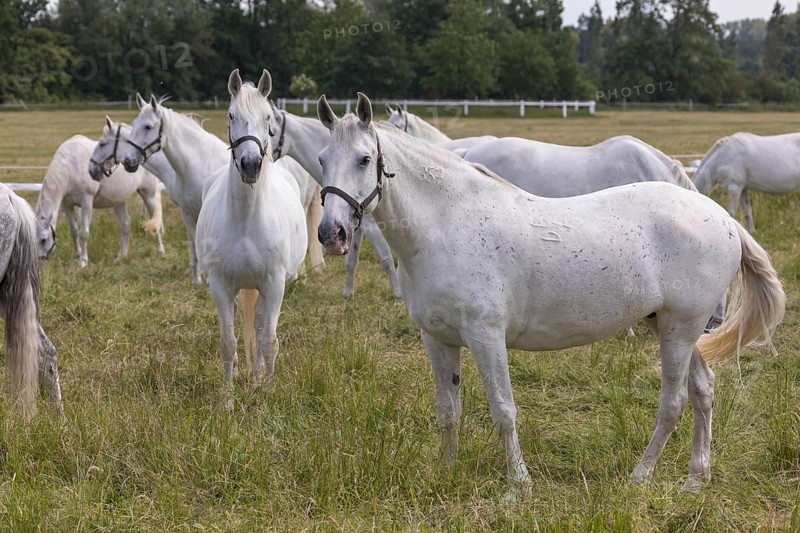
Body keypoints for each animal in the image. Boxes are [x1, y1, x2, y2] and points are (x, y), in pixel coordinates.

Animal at [36, 135, 164, 267]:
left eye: (44, 239)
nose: (37, 261)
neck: (72, 165)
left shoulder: (86, 201)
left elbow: (84, 233)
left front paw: (83, 261)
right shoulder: (67, 205)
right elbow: (74, 230)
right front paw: (77, 254)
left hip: (149, 195)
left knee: (156, 223)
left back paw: (160, 252)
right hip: (118, 201)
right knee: (126, 224)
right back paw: (121, 256)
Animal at [121, 95, 322, 285]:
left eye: (148, 127)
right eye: (134, 124)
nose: (128, 161)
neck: (197, 161)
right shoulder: (187, 214)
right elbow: (193, 247)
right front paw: (197, 279)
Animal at [196, 70, 306, 408]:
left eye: (268, 118)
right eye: (231, 115)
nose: (251, 165)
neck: (245, 220)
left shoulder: (274, 283)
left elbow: (267, 339)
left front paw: (265, 391)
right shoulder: (220, 285)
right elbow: (229, 342)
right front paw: (228, 400)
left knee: (260, 327)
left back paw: (258, 379)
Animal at [266, 90, 401, 299]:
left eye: (270, 130)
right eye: (321, 160)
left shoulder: (370, 225)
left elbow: (385, 258)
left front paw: (398, 295)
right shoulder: (352, 225)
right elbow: (351, 259)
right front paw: (347, 294)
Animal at [317, 93, 786, 499]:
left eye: (364, 159)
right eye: (321, 160)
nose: (331, 234)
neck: (447, 224)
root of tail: (721, 217)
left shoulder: (486, 337)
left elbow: (503, 411)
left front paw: (518, 487)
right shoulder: (437, 339)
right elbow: (448, 410)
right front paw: (446, 471)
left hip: (680, 330)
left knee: (673, 402)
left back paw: (640, 475)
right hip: (674, 329)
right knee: (704, 391)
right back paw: (694, 479)